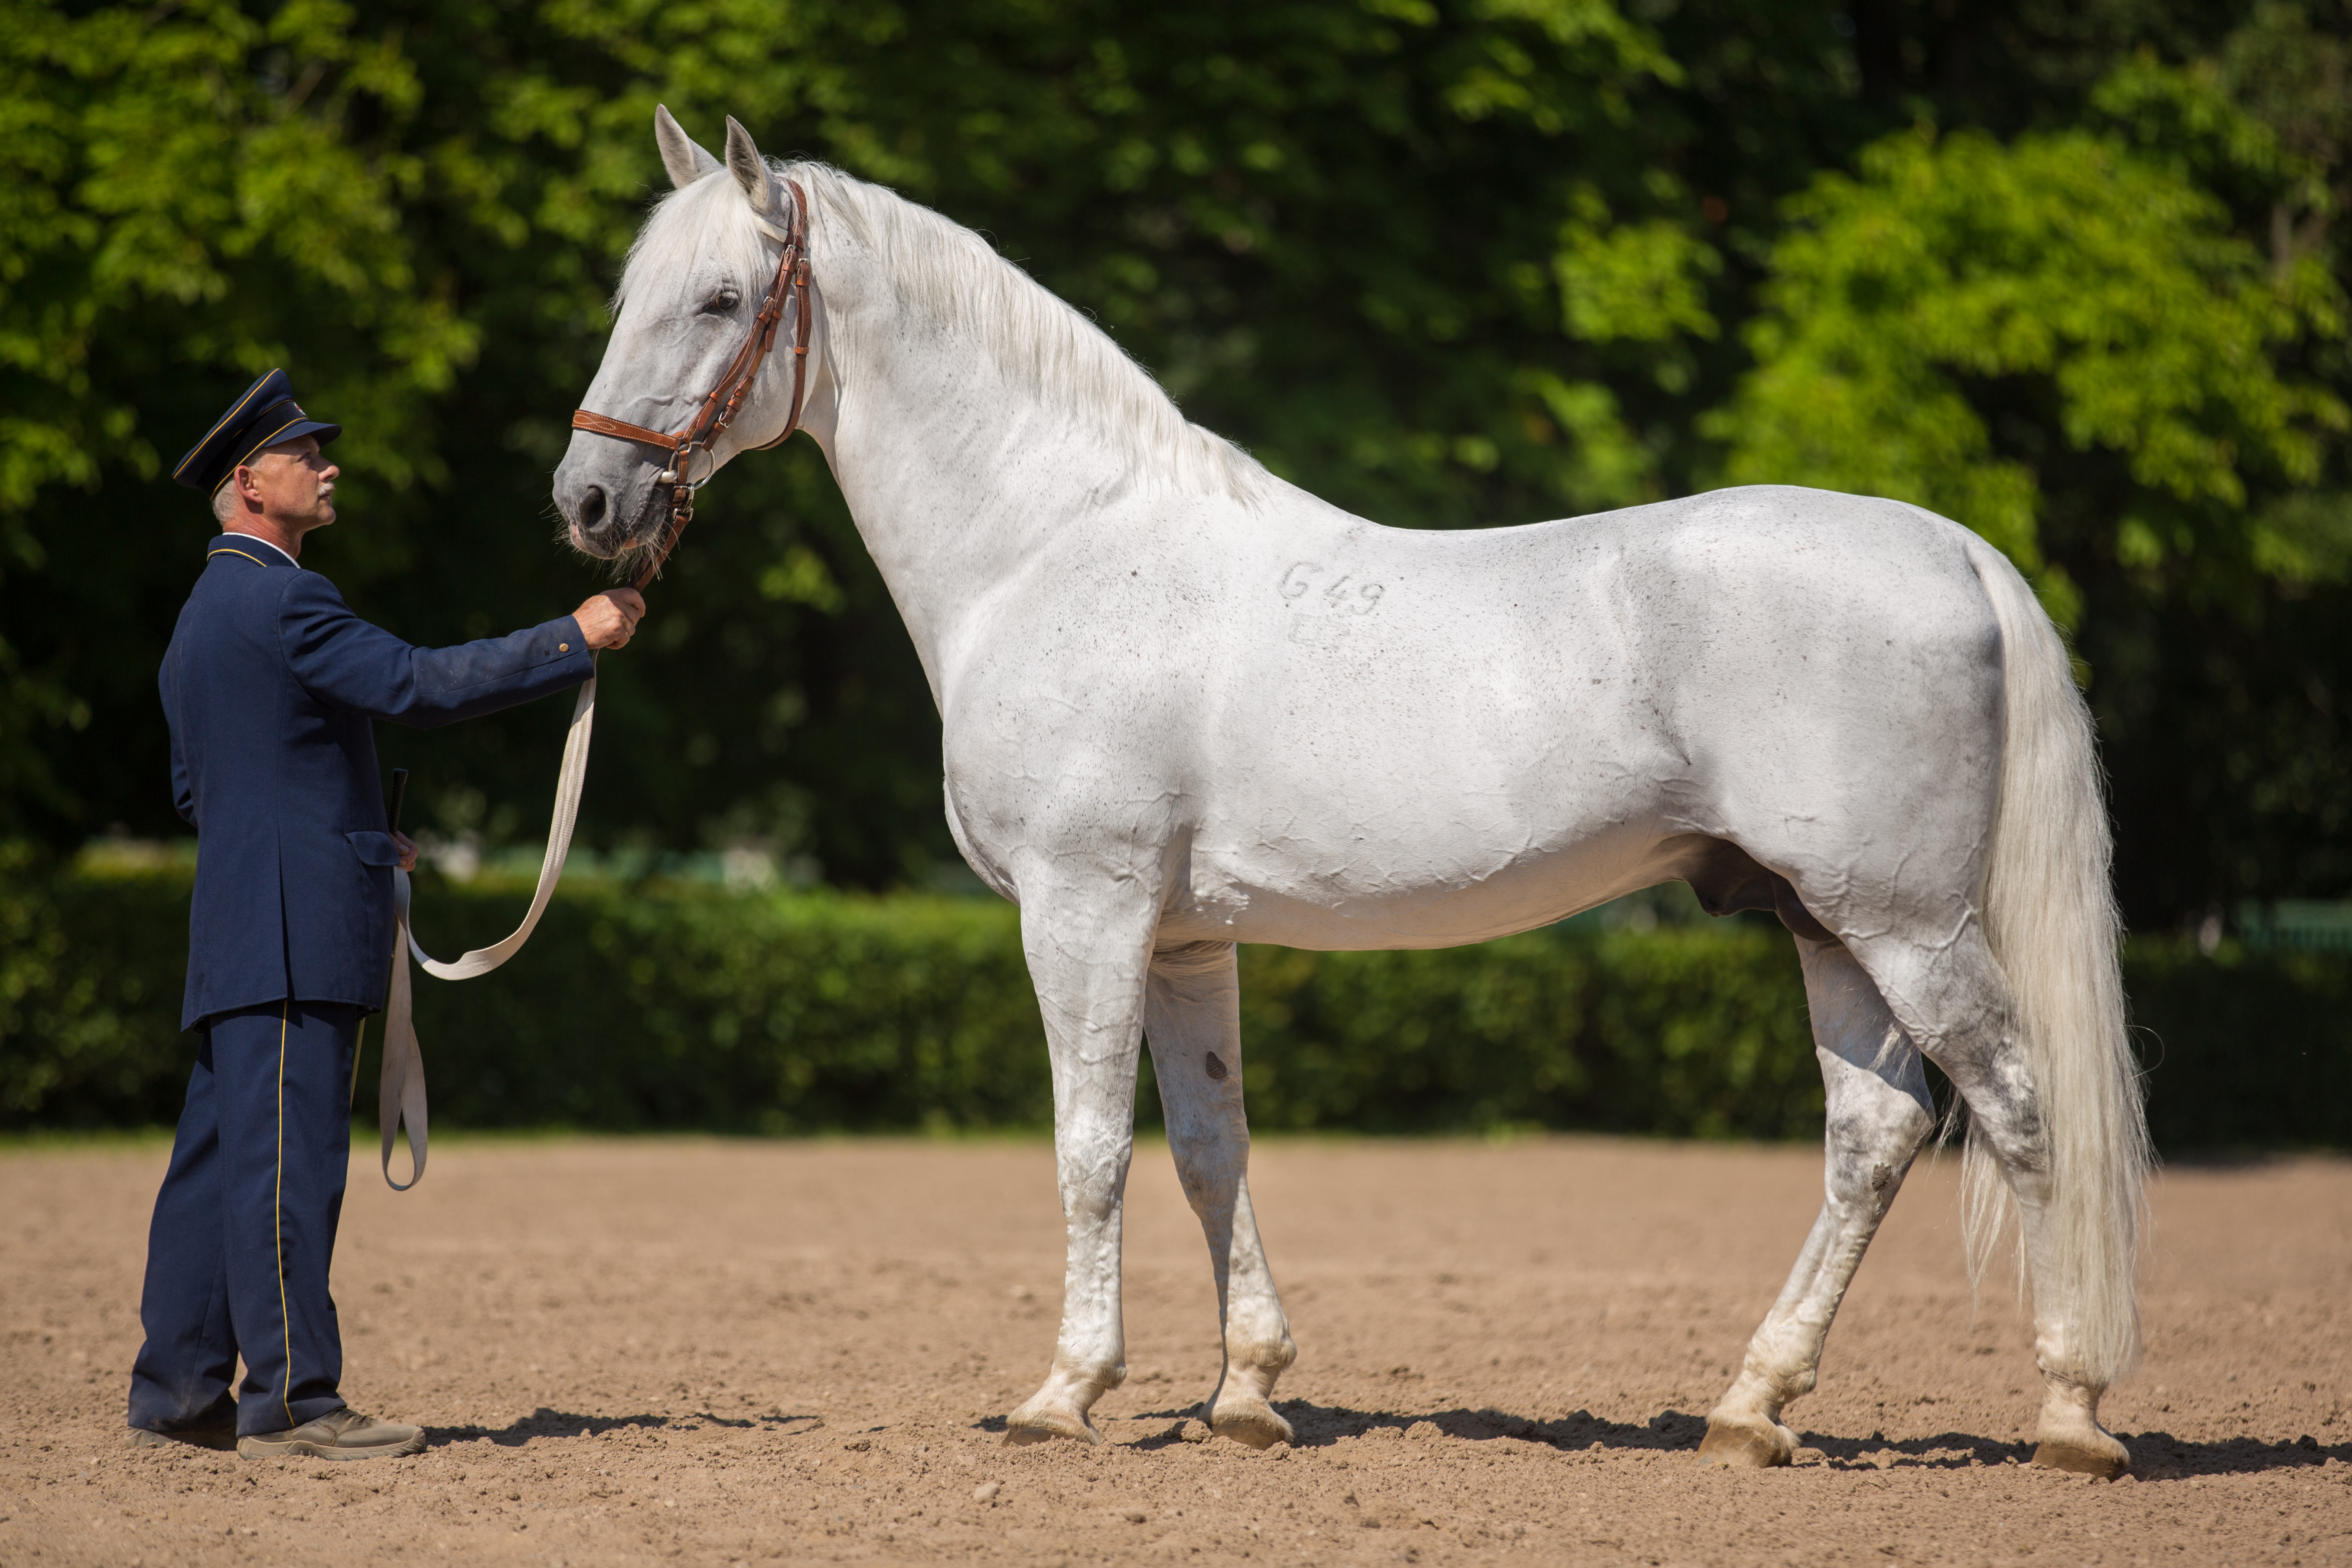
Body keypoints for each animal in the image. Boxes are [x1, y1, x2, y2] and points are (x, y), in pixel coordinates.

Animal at [553, 108, 2152, 1478]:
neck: (1056, 547)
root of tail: (1950, 545)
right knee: (1871, 1137)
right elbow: (1207, 1150)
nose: (585, 504)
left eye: (716, 301)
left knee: (2017, 1110)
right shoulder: (1183, 937)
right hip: (1822, 920)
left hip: (1909, 924)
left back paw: (2071, 1412)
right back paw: (1750, 1408)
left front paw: (1065, 1393)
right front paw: (1247, 1390)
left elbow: (1088, 1150)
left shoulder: (1083, 912)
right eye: (631, 292)